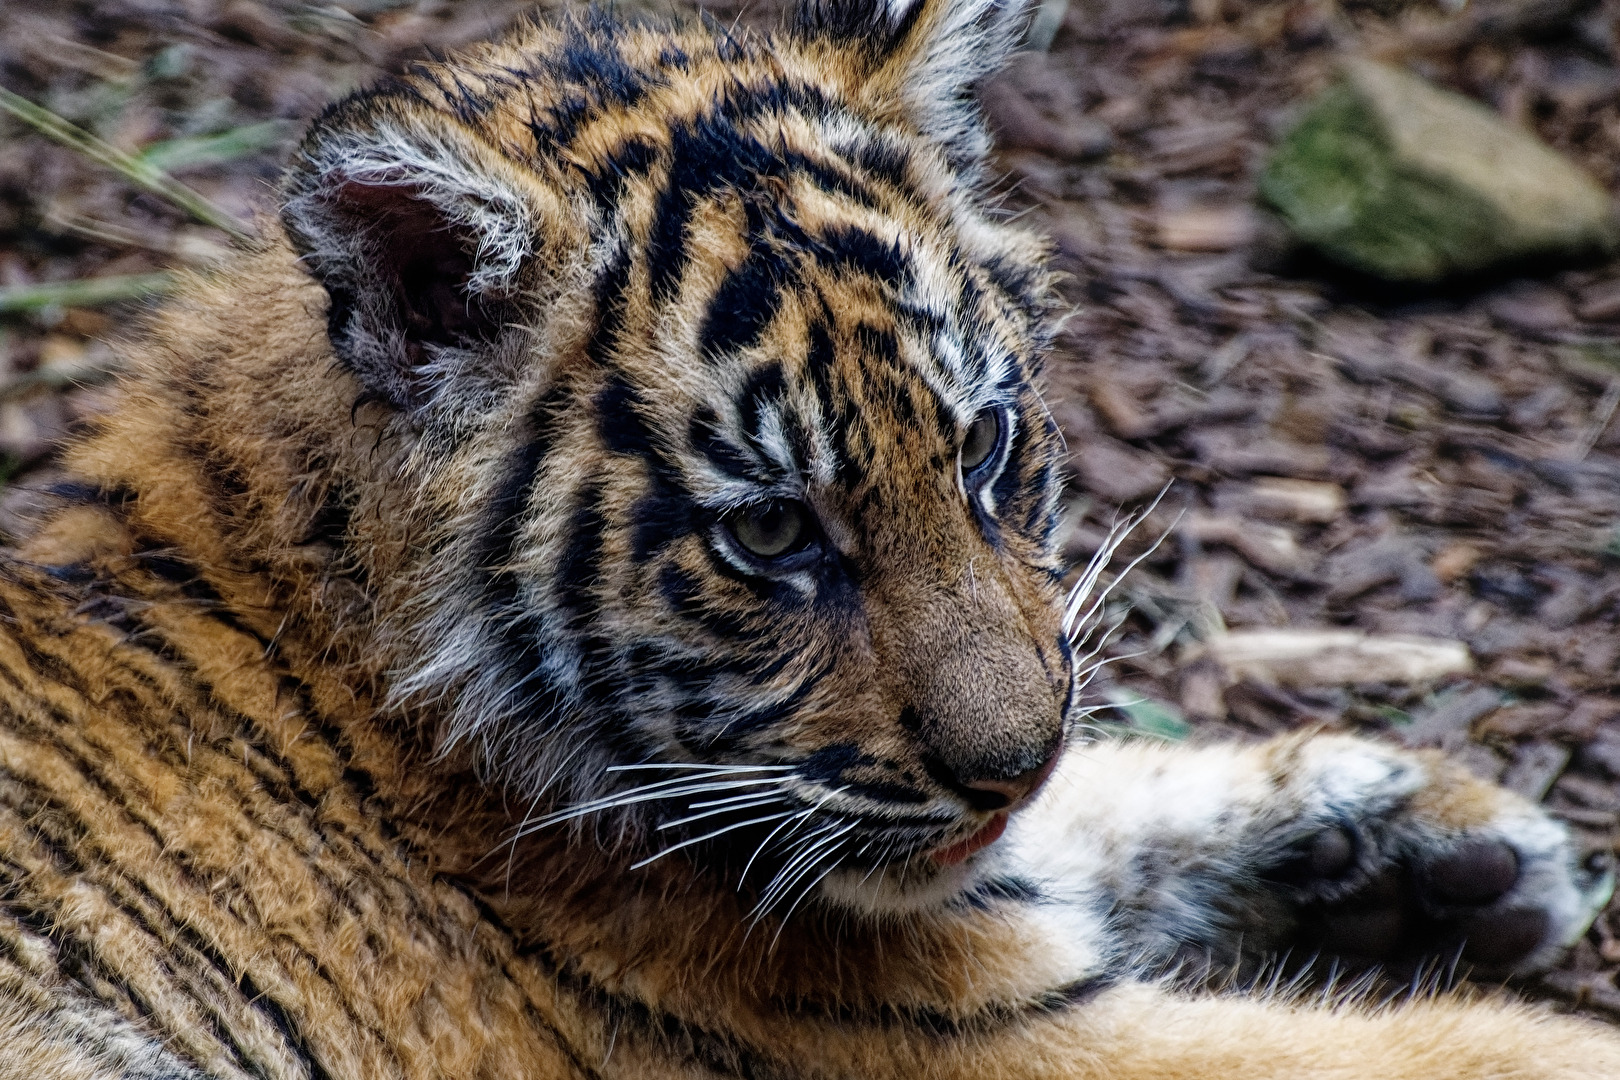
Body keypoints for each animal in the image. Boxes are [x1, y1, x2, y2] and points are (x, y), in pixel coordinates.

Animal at [0, 0, 1617, 1076]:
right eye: (774, 533)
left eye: (984, 450)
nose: (1008, 762)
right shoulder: (991, 1036)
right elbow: (1472, 1053)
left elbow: (1094, 810)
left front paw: (1437, 848)